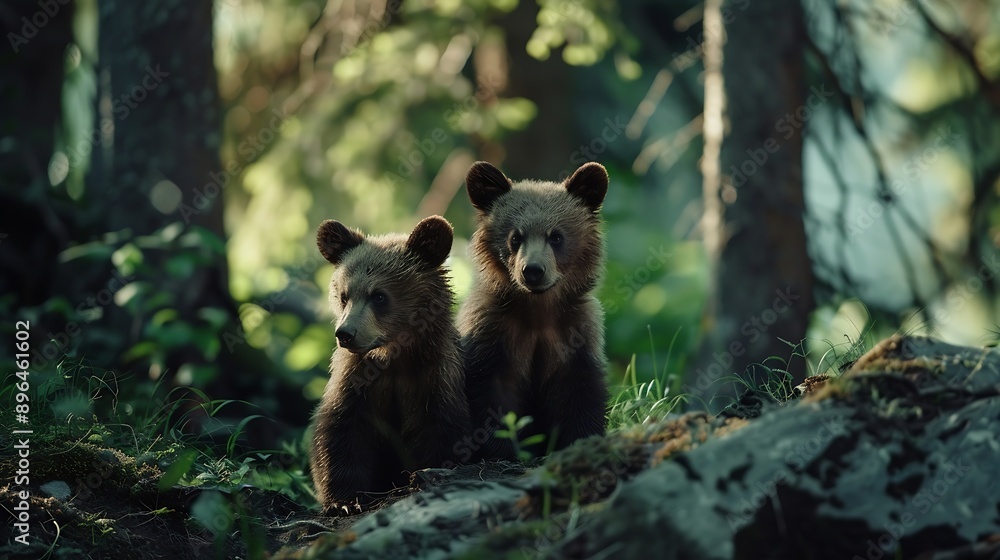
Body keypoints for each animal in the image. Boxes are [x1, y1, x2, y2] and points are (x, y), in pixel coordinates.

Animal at [310, 215, 470, 512]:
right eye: (344, 295)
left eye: (379, 296)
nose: (345, 334)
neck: (394, 358)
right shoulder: (356, 381)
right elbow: (341, 431)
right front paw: (344, 501)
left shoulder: (435, 378)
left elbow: (442, 431)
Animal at [458, 161, 610, 461]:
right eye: (515, 237)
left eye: (557, 236)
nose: (533, 271)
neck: (537, 312)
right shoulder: (493, 333)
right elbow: (491, 396)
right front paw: (502, 450)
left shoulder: (574, 332)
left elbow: (580, 392)